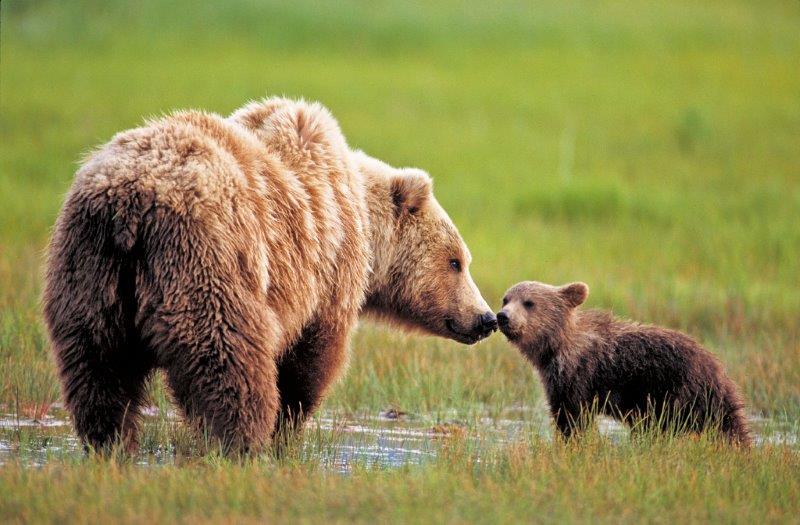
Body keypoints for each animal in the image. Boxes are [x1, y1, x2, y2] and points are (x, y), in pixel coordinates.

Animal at [43, 97, 497, 455]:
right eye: (457, 261)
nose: (486, 318)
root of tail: (132, 201)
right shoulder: (329, 270)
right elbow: (312, 358)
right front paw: (287, 426)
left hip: (90, 270)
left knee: (99, 367)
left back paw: (110, 440)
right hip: (206, 260)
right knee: (227, 358)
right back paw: (242, 441)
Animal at [496, 281, 751, 445]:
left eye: (529, 302)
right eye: (506, 299)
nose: (503, 316)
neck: (556, 347)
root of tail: (716, 367)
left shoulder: (576, 375)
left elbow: (571, 416)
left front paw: (573, 444)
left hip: (676, 390)